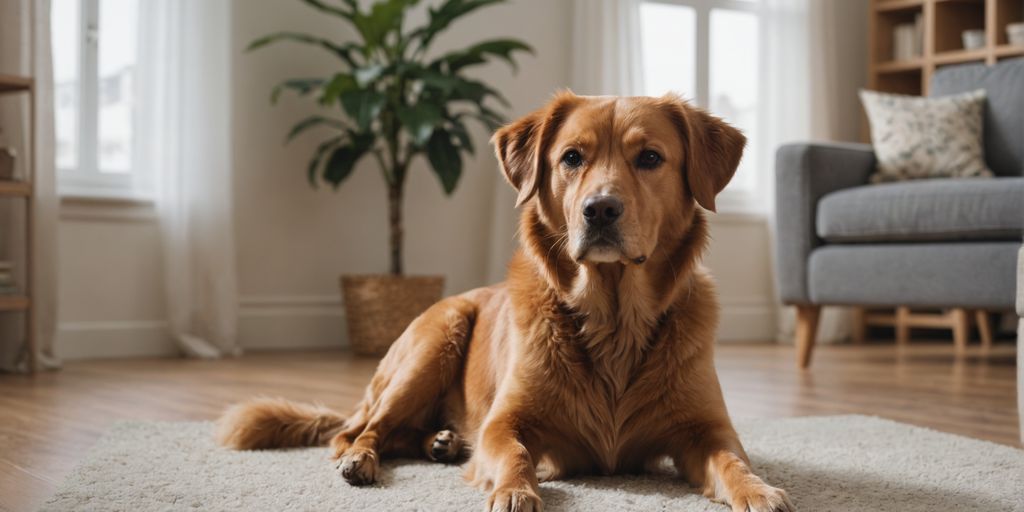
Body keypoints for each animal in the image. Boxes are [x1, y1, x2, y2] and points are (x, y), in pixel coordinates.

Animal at [214, 93, 790, 512]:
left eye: (650, 158)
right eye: (571, 158)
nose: (599, 209)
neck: (612, 317)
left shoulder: (707, 430)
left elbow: (734, 462)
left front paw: (759, 490)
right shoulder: (503, 422)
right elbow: (513, 453)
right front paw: (516, 490)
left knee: (399, 433)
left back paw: (441, 442)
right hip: (435, 338)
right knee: (359, 431)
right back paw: (365, 459)